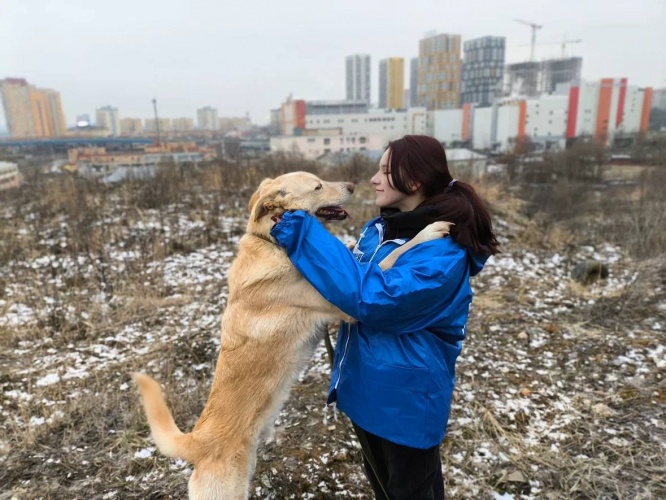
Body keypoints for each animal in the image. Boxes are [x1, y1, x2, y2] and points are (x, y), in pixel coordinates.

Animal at [132, 173, 448, 500]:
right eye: (318, 186)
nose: (352, 185)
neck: (271, 241)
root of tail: (196, 442)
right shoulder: (345, 305)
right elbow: (388, 259)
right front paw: (429, 232)